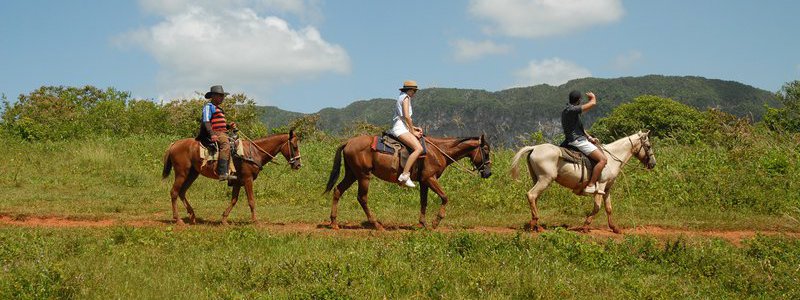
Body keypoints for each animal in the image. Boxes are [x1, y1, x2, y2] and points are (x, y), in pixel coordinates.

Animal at [162, 131, 304, 225]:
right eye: (295, 146)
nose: (298, 165)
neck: (253, 153)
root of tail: (174, 144)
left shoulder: (237, 182)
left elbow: (234, 200)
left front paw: (224, 219)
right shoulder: (247, 179)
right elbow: (251, 201)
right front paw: (255, 221)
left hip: (192, 174)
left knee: (182, 192)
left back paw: (192, 216)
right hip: (182, 173)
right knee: (174, 192)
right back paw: (178, 219)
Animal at [324, 135, 494, 231]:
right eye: (486, 150)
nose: (488, 173)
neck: (439, 151)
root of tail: (348, 142)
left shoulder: (424, 182)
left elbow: (424, 201)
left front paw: (422, 224)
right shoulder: (430, 178)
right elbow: (445, 197)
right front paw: (435, 222)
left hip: (352, 174)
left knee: (338, 190)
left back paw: (334, 222)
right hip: (363, 175)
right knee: (362, 198)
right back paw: (376, 224)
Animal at [512, 131, 656, 234]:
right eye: (648, 146)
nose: (653, 164)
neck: (612, 158)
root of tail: (534, 148)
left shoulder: (607, 188)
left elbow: (609, 208)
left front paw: (614, 228)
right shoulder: (601, 186)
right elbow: (597, 207)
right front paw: (586, 226)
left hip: (537, 179)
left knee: (534, 198)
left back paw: (538, 226)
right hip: (545, 179)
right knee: (531, 195)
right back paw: (534, 224)